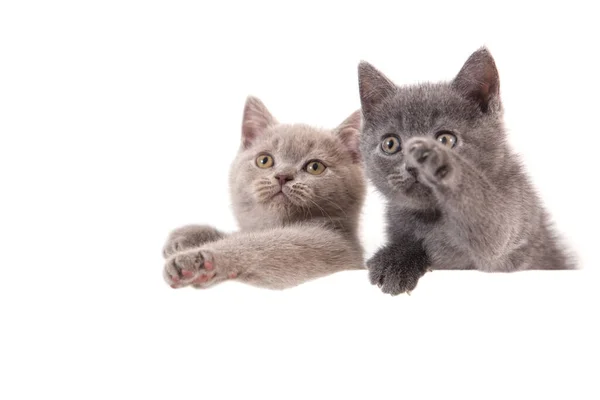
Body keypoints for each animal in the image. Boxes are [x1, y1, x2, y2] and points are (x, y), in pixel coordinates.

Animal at [162, 97, 366, 290]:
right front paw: (185, 237)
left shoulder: (328, 245)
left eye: (315, 167)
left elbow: (262, 247)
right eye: (264, 160)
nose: (283, 176)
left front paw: (196, 261)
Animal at [358, 48, 576, 296]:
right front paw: (396, 259)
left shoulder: (513, 214)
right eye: (390, 144)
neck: (434, 217)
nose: (413, 166)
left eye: (445, 140)